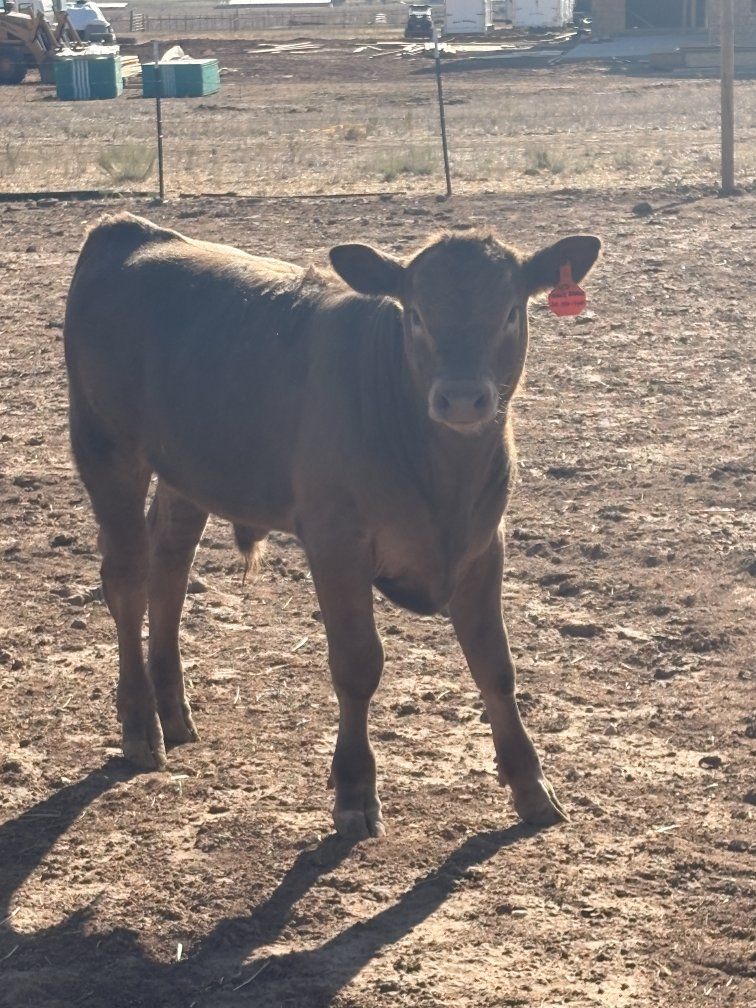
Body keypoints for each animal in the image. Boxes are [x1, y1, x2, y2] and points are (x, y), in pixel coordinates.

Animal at [64, 213, 600, 841]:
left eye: (511, 310)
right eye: (415, 313)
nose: (463, 398)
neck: (443, 478)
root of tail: (126, 229)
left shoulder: (482, 545)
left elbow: (495, 664)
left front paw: (531, 786)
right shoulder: (336, 542)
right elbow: (357, 663)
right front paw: (354, 791)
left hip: (185, 473)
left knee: (168, 574)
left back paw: (174, 713)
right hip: (106, 449)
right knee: (126, 581)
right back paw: (140, 726)